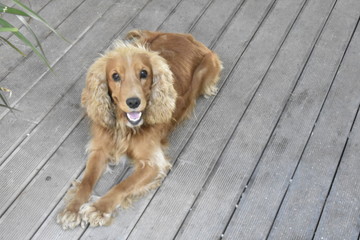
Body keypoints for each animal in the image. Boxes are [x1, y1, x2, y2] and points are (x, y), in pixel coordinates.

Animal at [57, 30, 221, 229]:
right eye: (115, 76)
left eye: (144, 73)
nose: (133, 102)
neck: (125, 128)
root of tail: (185, 36)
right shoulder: (100, 149)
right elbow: (86, 181)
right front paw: (72, 209)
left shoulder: (153, 163)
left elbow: (124, 185)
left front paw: (99, 208)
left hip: (206, 68)